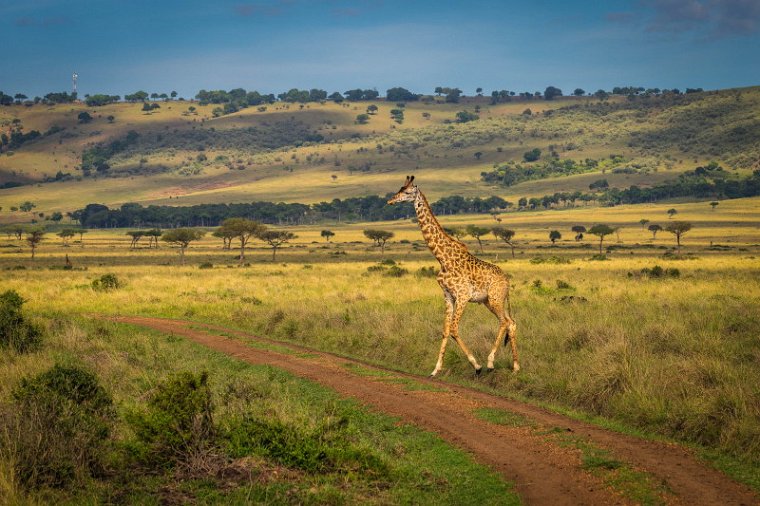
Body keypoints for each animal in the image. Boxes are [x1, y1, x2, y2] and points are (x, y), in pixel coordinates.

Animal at [388, 175, 520, 376]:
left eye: (407, 191)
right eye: (399, 189)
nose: (391, 200)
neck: (442, 258)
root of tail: (507, 280)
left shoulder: (463, 296)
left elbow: (454, 329)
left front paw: (477, 366)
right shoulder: (448, 296)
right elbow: (445, 330)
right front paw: (435, 370)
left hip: (495, 298)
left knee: (505, 322)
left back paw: (490, 363)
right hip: (490, 301)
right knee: (510, 322)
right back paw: (516, 367)